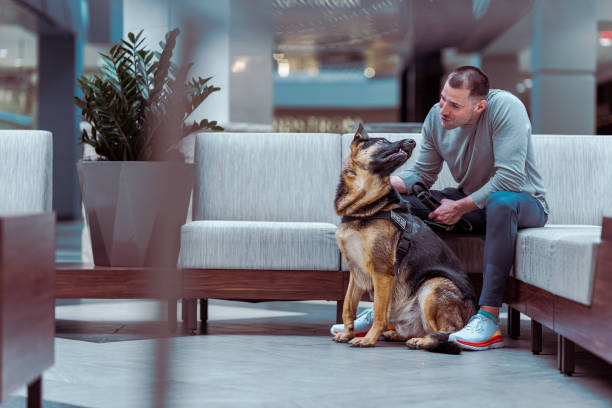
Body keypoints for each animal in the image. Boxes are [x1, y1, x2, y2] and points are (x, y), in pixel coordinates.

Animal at [332, 126, 476, 352]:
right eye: (382, 140)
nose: (412, 141)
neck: (363, 211)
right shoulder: (356, 273)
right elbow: (348, 306)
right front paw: (347, 333)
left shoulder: (383, 273)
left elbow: (379, 312)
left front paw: (368, 339)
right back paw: (399, 335)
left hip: (432, 286)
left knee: (448, 333)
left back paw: (422, 341)